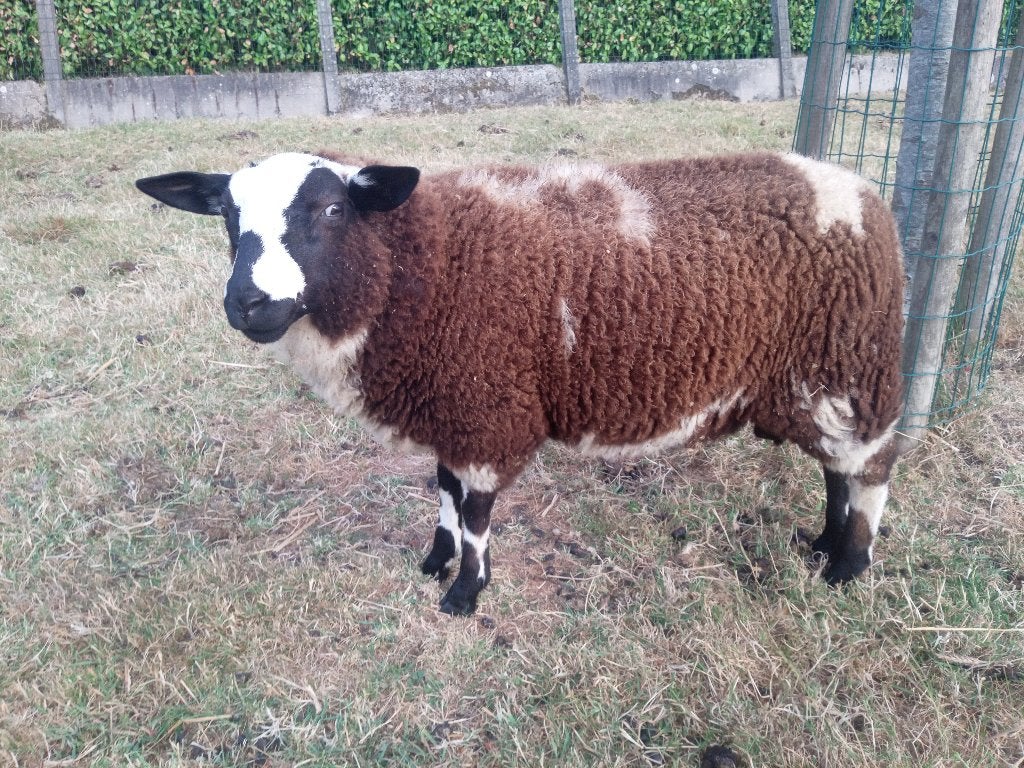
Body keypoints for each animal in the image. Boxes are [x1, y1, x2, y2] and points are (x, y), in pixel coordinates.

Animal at [135, 149, 905, 615]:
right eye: (227, 216)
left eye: (329, 210)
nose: (248, 304)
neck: (418, 263)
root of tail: (858, 188)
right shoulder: (452, 405)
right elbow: (444, 494)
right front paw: (433, 561)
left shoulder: (485, 404)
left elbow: (476, 514)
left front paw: (464, 593)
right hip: (821, 379)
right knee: (836, 468)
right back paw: (822, 542)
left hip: (848, 365)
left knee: (868, 468)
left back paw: (848, 565)